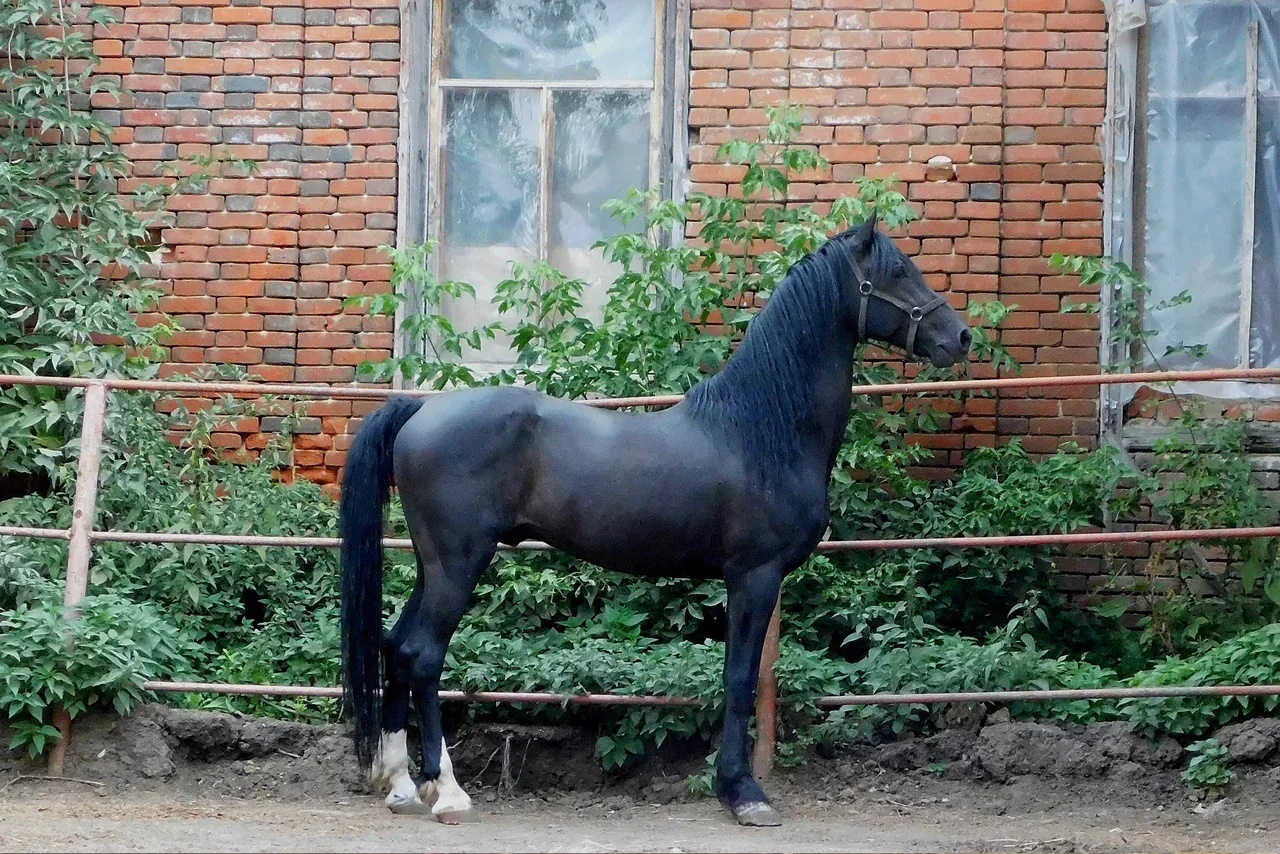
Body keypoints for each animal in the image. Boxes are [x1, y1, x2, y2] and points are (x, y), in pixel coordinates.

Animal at [337, 220, 967, 829]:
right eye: (899, 271)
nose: (959, 336)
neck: (760, 431)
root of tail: (420, 408)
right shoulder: (755, 576)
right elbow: (739, 679)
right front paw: (743, 794)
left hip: (435, 565)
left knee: (397, 647)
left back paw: (400, 785)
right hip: (460, 562)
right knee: (423, 654)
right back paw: (447, 793)